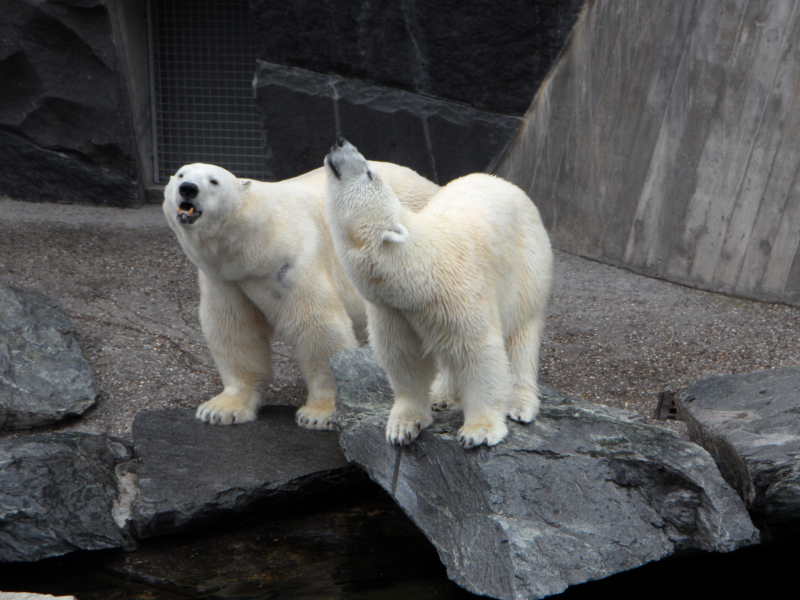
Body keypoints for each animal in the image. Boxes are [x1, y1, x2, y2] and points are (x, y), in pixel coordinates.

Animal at [162, 161, 438, 432]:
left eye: (214, 181)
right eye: (181, 174)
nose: (188, 189)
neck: (256, 242)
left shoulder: (291, 260)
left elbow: (317, 328)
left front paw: (318, 414)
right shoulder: (225, 279)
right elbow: (234, 330)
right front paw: (220, 409)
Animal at [322, 137, 552, 446]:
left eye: (370, 173)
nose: (340, 141)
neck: (417, 271)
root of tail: (506, 182)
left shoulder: (460, 295)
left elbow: (480, 354)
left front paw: (478, 431)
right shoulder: (393, 311)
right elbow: (404, 359)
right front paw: (403, 426)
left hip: (527, 268)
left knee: (521, 336)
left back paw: (520, 404)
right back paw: (442, 395)